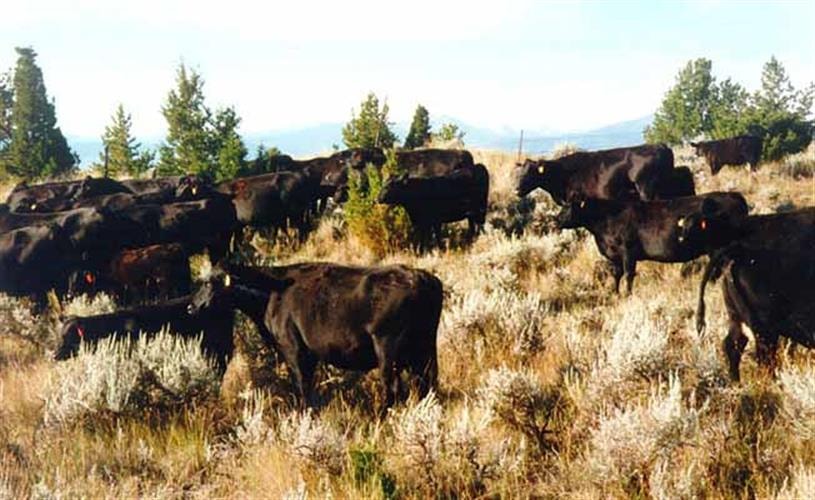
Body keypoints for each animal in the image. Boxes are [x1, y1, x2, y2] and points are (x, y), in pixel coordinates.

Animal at [188, 263, 443, 410]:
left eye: (209, 283)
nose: (191, 307)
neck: (273, 290)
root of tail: (423, 279)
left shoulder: (294, 351)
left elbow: (302, 386)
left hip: (387, 353)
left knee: (392, 387)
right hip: (425, 351)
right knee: (427, 383)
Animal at [555, 192, 748, 293]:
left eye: (568, 207)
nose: (555, 220)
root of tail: (734, 195)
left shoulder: (628, 252)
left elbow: (628, 274)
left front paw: (627, 295)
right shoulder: (615, 255)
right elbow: (617, 274)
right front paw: (615, 293)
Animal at [685, 208, 815, 381]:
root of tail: (738, 252)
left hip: (737, 318)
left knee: (733, 345)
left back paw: (736, 382)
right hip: (764, 328)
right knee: (764, 358)